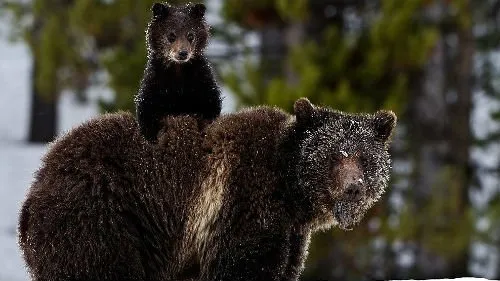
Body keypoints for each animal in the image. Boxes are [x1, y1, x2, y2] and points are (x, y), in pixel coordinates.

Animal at [17, 97, 396, 278]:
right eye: (333, 155)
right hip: (101, 219)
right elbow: (244, 267)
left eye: (364, 157)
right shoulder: (241, 205)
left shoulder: (290, 235)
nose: (354, 187)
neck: (291, 194)